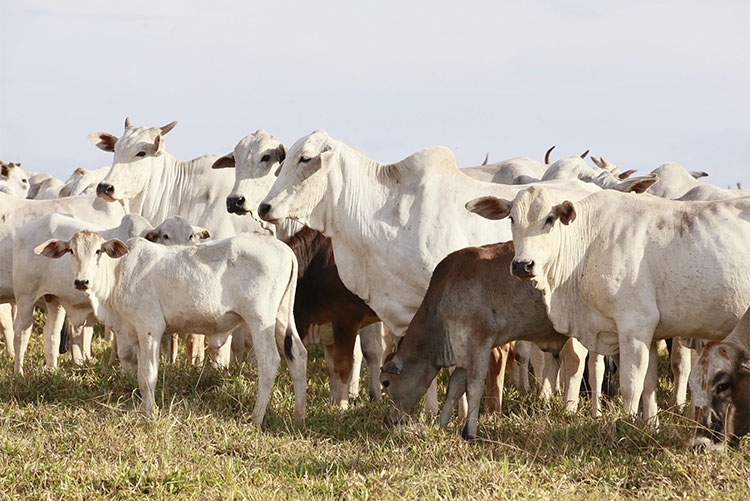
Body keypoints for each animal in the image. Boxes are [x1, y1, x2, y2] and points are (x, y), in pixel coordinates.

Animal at [36, 229, 308, 422]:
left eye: (98, 252)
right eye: (71, 251)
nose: (81, 281)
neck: (119, 273)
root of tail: (285, 249)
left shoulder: (150, 328)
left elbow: (148, 375)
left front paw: (150, 414)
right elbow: (138, 374)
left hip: (260, 319)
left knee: (270, 361)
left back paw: (256, 418)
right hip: (282, 316)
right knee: (297, 355)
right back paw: (298, 418)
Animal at [382, 240, 568, 440]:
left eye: (385, 382)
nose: (390, 420)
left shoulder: (478, 344)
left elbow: (474, 388)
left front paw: (469, 432)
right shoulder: (462, 353)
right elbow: (454, 389)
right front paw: (440, 425)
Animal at [468, 186, 750, 420]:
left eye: (549, 219)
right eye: (512, 218)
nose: (522, 265)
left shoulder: (634, 327)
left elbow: (631, 385)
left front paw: (626, 424)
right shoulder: (649, 334)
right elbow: (648, 386)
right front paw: (650, 426)